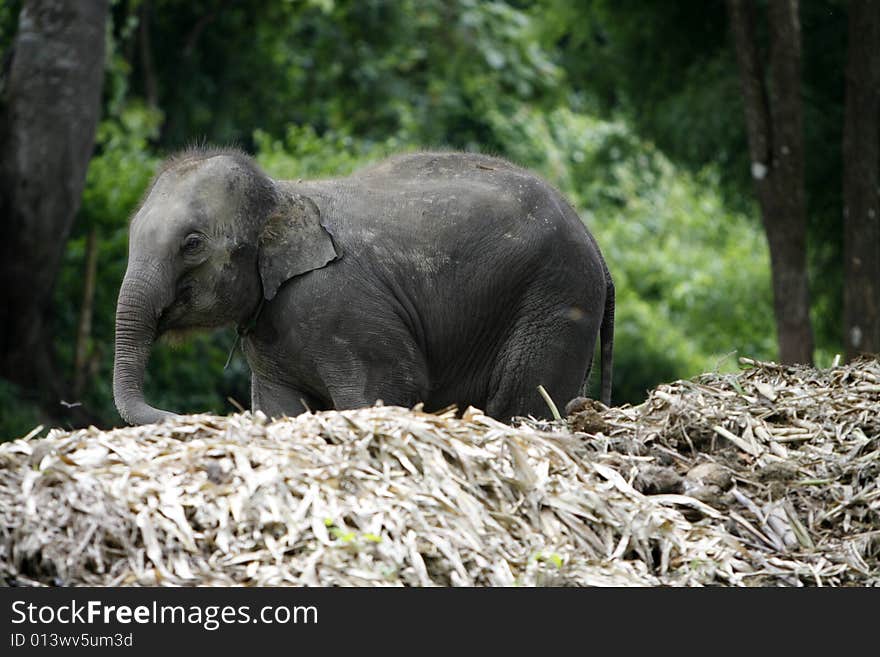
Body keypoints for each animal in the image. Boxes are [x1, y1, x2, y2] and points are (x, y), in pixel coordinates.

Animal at [113, 147, 616, 426]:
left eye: (192, 244)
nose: (182, 417)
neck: (282, 193)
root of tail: (595, 242)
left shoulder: (343, 311)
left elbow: (385, 390)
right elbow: (281, 407)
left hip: (555, 299)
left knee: (522, 402)